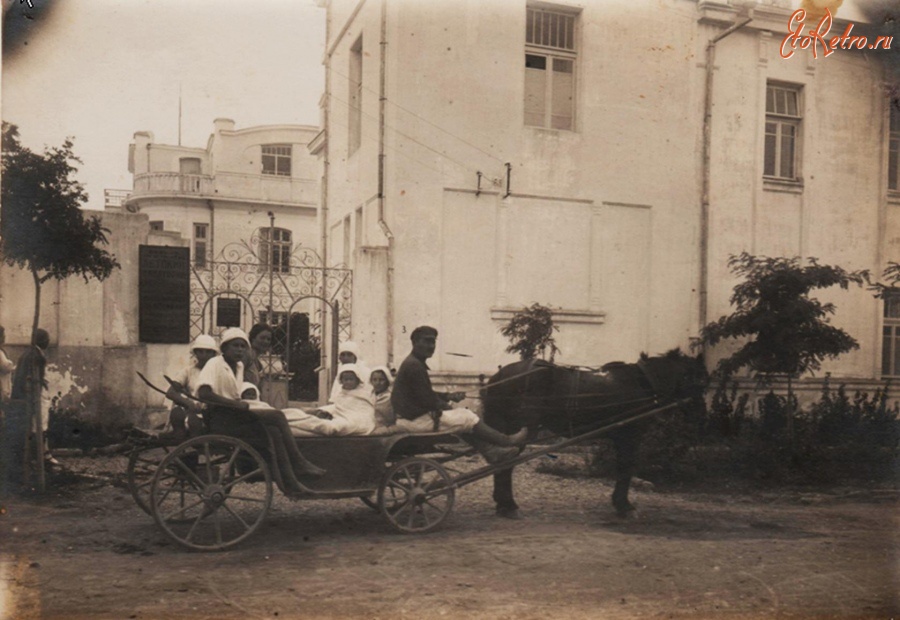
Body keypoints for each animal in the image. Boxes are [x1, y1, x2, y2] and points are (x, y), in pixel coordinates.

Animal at [482, 348, 708, 520]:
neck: (642, 382)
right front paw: (624, 506)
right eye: (700, 381)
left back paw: (503, 504)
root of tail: (499, 377)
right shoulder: (629, 436)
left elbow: (623, 468)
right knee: (506, 464)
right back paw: (509, 505)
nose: (701, 416)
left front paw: (621, 503)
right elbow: (626, 467)